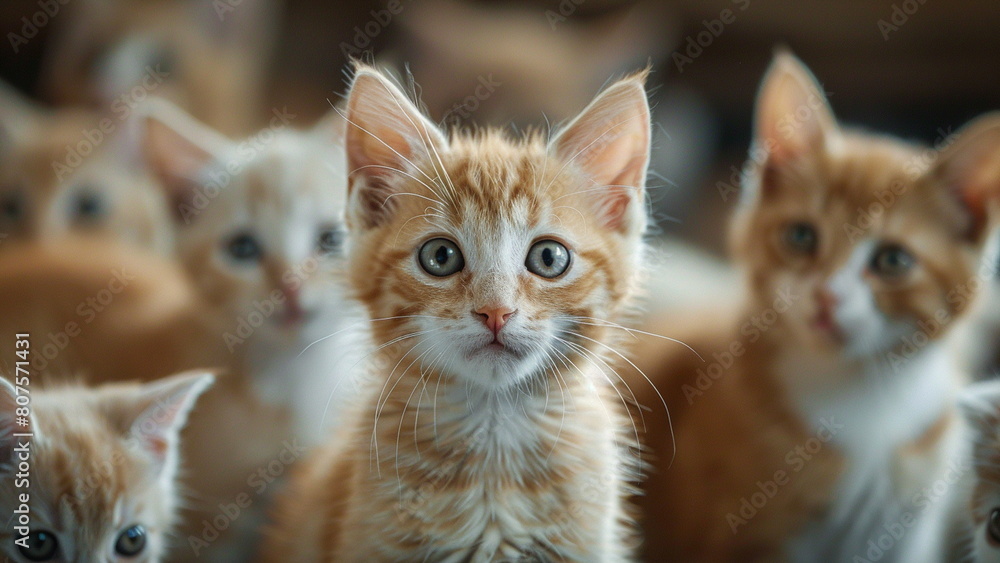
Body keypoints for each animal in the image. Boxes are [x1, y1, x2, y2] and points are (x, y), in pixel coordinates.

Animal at [628, 51, 1000, 560]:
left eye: (893, 260)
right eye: (802, 236)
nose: (828, 295)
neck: (860, 390)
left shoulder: (908, 535)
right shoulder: (753, 537)